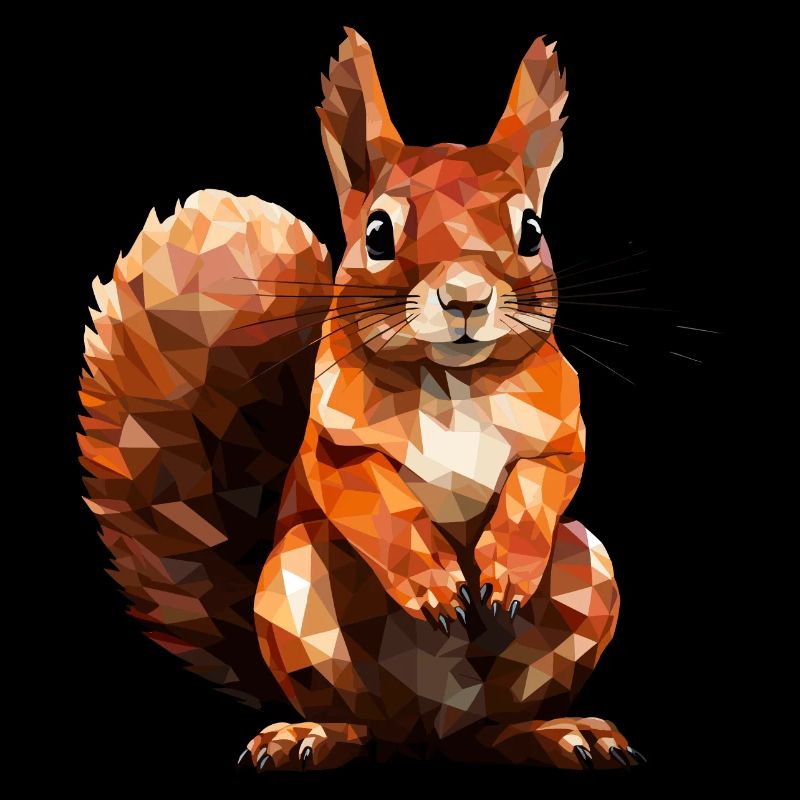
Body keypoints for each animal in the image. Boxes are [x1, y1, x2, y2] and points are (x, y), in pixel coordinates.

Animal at [79, 28, 646, 771]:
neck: (453, 383)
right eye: (376, 234)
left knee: (497, 726)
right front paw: (433, 581)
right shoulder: (332, 441)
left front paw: (505, 569)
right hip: (296, 591)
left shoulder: (563, 429)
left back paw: (560, 730)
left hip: (588, 575)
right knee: (362, 723)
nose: (465, 298)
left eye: (532, 230)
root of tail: (432, 734)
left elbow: (544, 480)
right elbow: (371, 495)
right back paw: (310, 734)